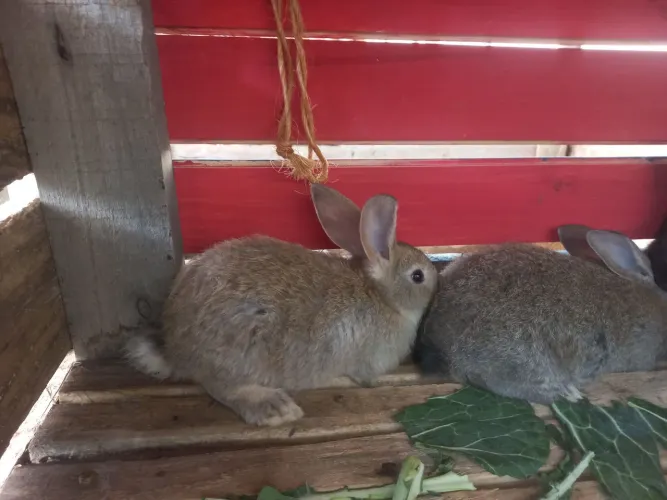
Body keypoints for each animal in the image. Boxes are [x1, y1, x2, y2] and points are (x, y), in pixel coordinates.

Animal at [126, 184, 437, 426]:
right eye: (418, 276)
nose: (437, 283)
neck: (382, 296)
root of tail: (175, 350)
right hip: (243, 346)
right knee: (221, 387)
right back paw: (274, 407)